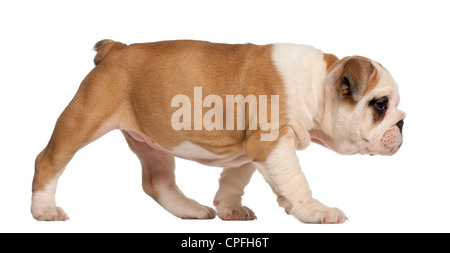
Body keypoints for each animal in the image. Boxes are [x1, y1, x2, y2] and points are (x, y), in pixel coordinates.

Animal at [31, 39, 404, 223]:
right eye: (380, 105)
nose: (402, 122)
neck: (319, 82)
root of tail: (115, 49)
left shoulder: (251, 150)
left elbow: (235, 179)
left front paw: (230, 209)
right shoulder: (270, 142)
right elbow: (296, 182)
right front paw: (315, 211)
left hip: (153, 141)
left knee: (157, 181)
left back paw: (190, 210)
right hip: (84, 117)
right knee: (48, 160)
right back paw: (44, 210)